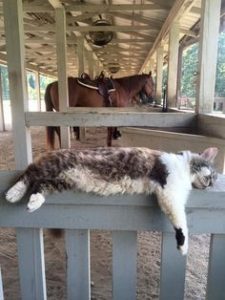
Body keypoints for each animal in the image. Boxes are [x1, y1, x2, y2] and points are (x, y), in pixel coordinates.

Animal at [5, 146, 218, 254]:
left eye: (214, 178)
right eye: (212, 172)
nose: (211, 183)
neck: (184, 168)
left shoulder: (170, 194)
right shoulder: (170, 192)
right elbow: (181, 222)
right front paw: (183, 246)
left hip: (62, 181)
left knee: (40, 185)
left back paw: (33, 202)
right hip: (54, 165)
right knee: (28, 173)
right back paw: (13, 193)